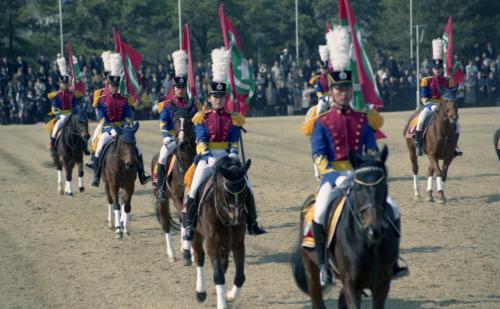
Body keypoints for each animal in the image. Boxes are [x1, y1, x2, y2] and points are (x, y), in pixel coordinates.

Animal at [150, 103, 195, 262]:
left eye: (190, 122)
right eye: (175, 120)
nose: (182, 143)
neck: (186, 166)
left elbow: (187, 220)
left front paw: (190, 252)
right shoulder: (176, 197)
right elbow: (184, 219)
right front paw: (187, 253)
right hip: (161, 200)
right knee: (166, 223)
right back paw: (172, 254)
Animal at [191, 158, 252, 306]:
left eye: (245, 191)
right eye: (227, 193)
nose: (236, 218)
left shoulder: (238, 243)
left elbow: (240, 276)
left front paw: (229, 296)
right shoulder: (212, 243)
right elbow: (218, 276)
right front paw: (222, 304)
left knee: (224, 263)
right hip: (197, 235)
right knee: (199, 257)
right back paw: (200, 292)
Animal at [292, 146, 400, 306]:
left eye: (383, 185)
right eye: (358, 187)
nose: (375, 230)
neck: (369, 243)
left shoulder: (382, 284)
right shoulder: (351, 284)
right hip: (310, 267)